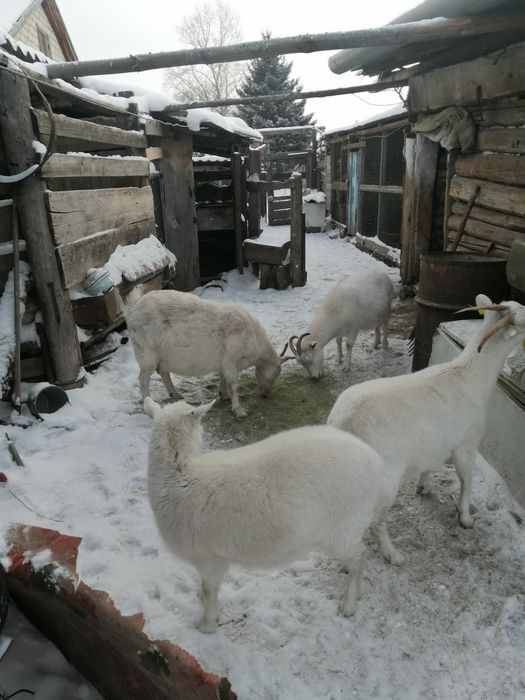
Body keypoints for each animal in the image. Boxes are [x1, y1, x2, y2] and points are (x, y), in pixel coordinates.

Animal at [126, 290, 290, 418]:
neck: (254, 339)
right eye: (276, 373)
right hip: (146, 353)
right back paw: (148, 403)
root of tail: (132, 312)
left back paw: (176, 394)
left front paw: (224, 395)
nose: (265, 395)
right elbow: (234, 385)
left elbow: (223, 378)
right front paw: (239, 410)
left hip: (162, 355)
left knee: (163, 372)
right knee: (144, 378)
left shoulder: (224, 362)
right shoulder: (231, 361)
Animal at [144, 397, 399, 633]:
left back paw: (349, 604)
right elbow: (206, 588)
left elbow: (210, 590)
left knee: (358, 557)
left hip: (344, 525)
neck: (179, 474)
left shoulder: (210, 558)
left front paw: (207, 625)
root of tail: (374, 459)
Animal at [327, 294, 525, 565]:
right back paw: (393, 554)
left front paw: (423, 487)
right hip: (386, 477)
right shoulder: (467, 442)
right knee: (376, 520)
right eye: (524, 318)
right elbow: (466, 478)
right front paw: (465, 517)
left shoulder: (438, 440)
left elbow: (431, 463)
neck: (471, 374)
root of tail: (341, 423)